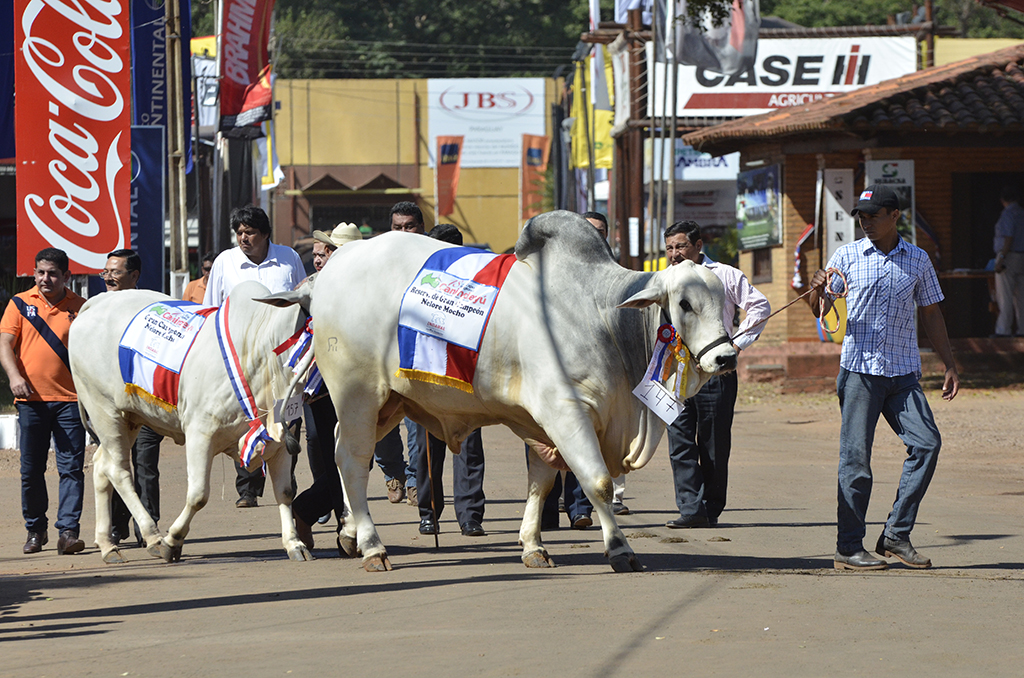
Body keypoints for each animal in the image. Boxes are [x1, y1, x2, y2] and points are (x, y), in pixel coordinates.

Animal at [69, 278, 309, 565]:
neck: (258, 348)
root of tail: (95, 303)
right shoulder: (200, 433)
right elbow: (198, 495)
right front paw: (172, 541)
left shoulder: (281, 441)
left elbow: (285, 492)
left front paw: (295, 544)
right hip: (103, 408)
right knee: (118, 471)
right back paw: (153, 537)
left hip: (129, 416)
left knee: (101, 466)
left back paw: (107, 545)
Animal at [264, 210, 733, 573]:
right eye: (685, 304)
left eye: (727, 302)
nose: (725, 357)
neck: (602, 317)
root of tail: (327, 272)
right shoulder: (566, 410)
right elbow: (597, 482)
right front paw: (620, 549)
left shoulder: (543, 423)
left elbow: (542, 482)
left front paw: (533, 546)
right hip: (358, 392)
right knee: (352, 458)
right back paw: (372, 547)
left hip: (391, 402)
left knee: (343, 452)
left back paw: (349, 534)